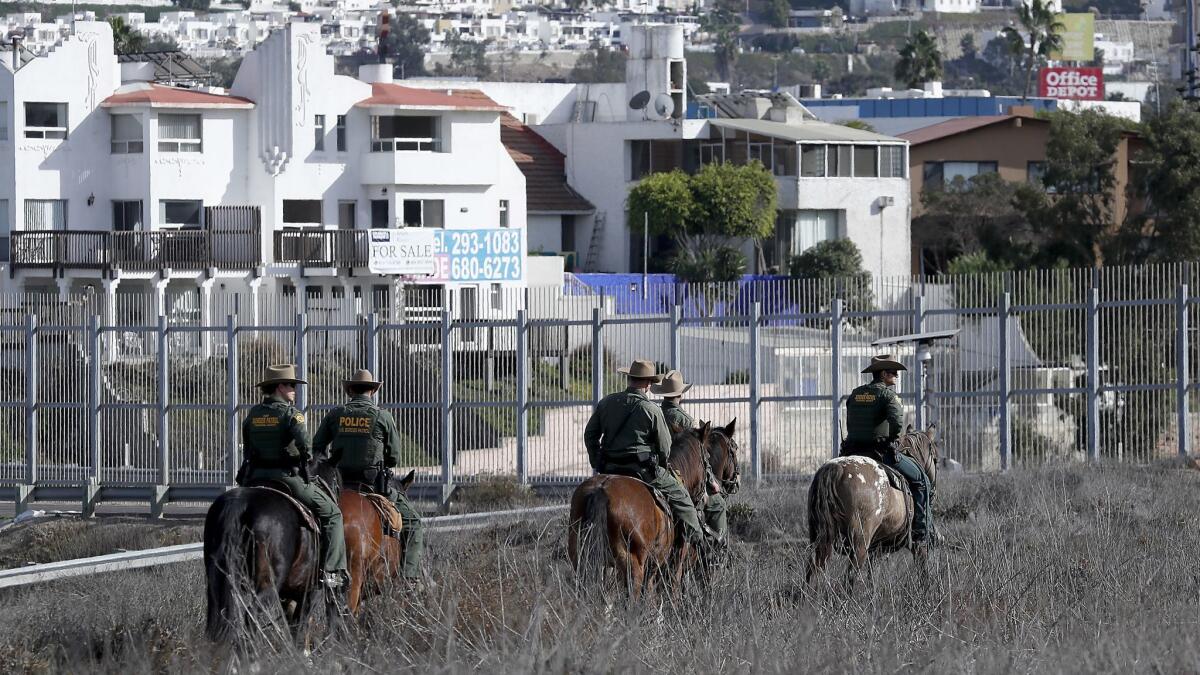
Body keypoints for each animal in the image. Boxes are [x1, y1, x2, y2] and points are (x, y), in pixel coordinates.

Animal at [801, 425, 940, 583]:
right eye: (936, 460)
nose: (934, 492)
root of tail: (836, 469)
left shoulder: (876, 549)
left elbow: (872, 576)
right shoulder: (917, 545)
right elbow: (924, 572)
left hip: (820, 539)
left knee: (812, 570)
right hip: (860, 543)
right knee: (850, 575)